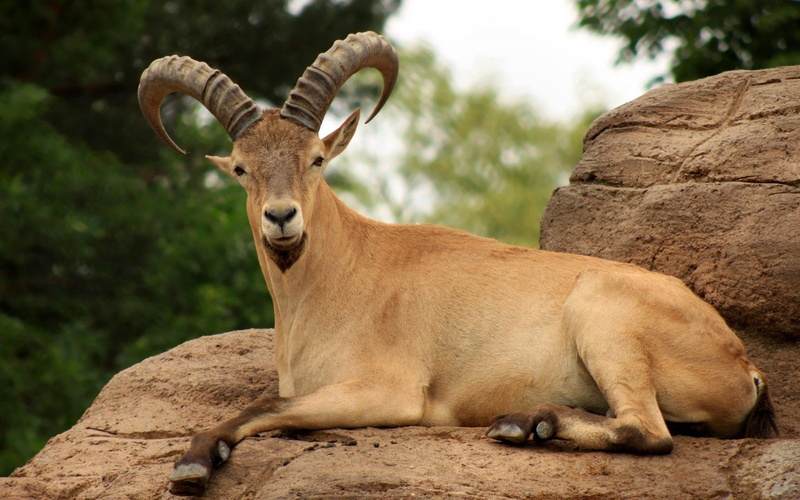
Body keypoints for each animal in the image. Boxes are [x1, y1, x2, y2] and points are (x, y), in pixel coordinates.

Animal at [138, 32, 778, 496]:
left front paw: (194, 462)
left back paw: (524, 424)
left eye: (317, 158)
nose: (281, 218)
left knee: (648, 431)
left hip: (606, 318)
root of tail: (744, 365)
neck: (336, 279)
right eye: (241, 168)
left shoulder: (389, 392)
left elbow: (267, 404)